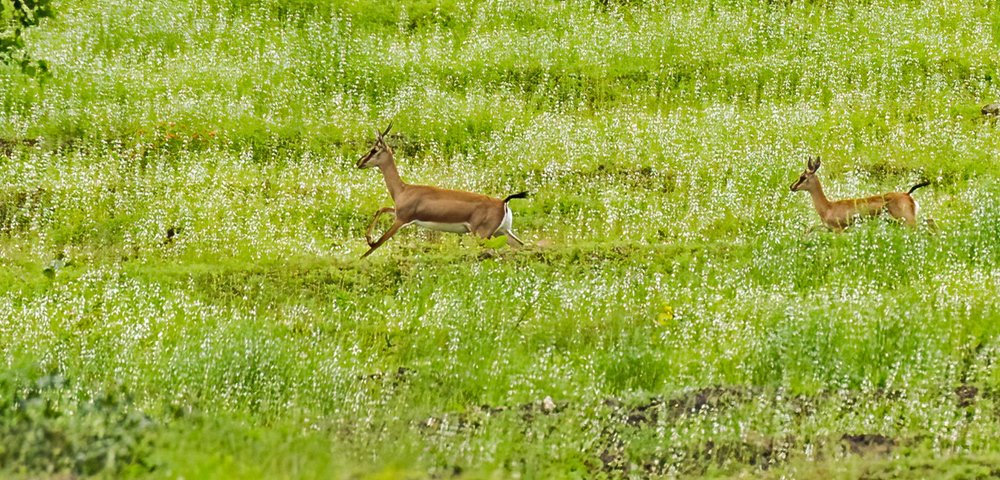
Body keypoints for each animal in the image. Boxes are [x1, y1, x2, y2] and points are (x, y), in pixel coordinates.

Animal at [356, 123, 529, 258]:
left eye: (374, 149)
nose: (359, 162)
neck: (404, 190)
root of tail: (503, 202)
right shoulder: (398, 213)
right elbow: (382, 209)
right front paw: (369, 238)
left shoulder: (401, 220)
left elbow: (376, 245)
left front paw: (369, 244)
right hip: (502, 232)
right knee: (521, 246)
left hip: (482, 234)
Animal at [790, 156, 930, 232]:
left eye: (803, 177)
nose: (792, 187)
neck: (828, 207)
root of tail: (907, 194)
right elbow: (809, 229)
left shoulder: (839, 230)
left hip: (908, 221)